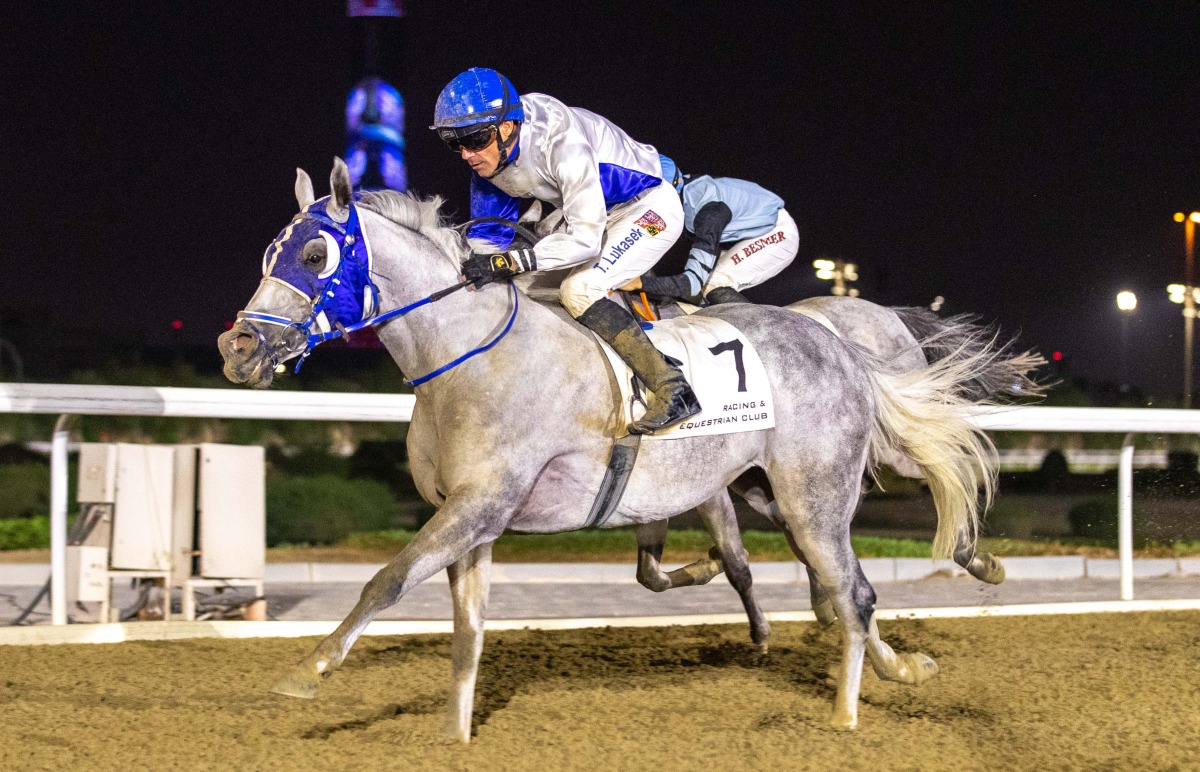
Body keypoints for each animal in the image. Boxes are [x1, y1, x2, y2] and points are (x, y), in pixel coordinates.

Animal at [223, 159, 1003, 739]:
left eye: (315, 252)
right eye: (268, 254)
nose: (239, 347)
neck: (467, 358)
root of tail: (837, 341)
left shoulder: (482, 504)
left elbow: (387, 579)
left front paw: (309, 670)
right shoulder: (471, 518)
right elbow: (467, 634)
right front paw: (456, 735)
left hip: (816, 493)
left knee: (854, 584)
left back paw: (849, 709)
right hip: (769, 489)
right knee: (850, 592)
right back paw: (902, 663)